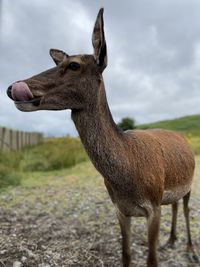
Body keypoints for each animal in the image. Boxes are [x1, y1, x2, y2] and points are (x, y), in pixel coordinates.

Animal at [6, 8, 198, 267]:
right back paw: (171, 240)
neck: (128, 176)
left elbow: (151, 260)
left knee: (186, 209)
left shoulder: (153, 206)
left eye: (74, 64)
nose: (13, 88)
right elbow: (126, 255)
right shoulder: (120, 209)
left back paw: (190, 250)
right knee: (176, 205)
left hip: (189, 183)